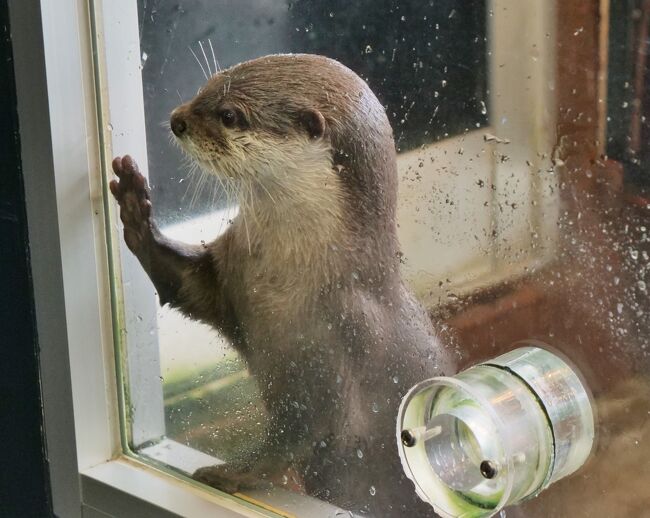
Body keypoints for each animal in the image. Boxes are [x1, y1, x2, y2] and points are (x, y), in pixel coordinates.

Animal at [110, 54, 456, 516]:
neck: (290, 274)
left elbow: (300, 432)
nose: (177, 119)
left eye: (229, 115)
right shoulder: (230, 274)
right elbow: (187, 286)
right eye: (208, 85)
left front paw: (228, 473)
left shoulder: (340, 346)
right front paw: (134, 205)